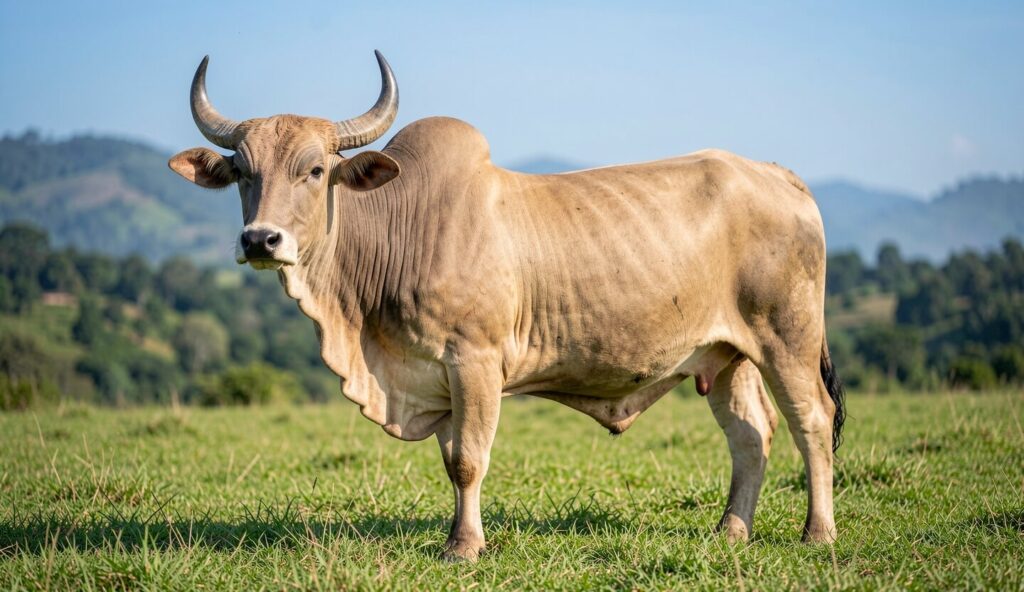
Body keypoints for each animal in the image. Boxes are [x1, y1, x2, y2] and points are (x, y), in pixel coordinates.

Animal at [169, 51, 845, 562]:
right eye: (242, 172)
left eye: (314, 170)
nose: (261, 240)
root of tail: (776, 174)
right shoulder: (440, 380)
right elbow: (451, 460)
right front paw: (455, 537)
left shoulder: (475, 361)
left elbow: (469, 460)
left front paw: (464, 548)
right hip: (726, 355)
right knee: (751, 435)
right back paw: (731, 531)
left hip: (787, 340)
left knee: (811, 420)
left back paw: (817, 533)